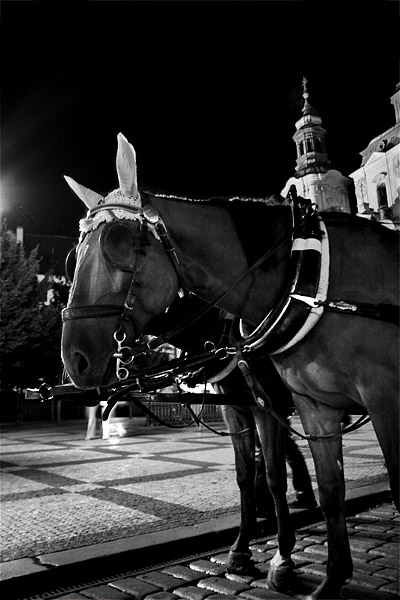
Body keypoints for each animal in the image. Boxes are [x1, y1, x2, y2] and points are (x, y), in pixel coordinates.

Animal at [61, 134, 398, 596]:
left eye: (117, 241)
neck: (307, 276)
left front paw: (282, 556)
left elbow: (272, 474)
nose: (74, 358)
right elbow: (262, 476)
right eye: (71, 258)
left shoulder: (321, 402)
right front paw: (248, 549)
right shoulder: (253, 406)